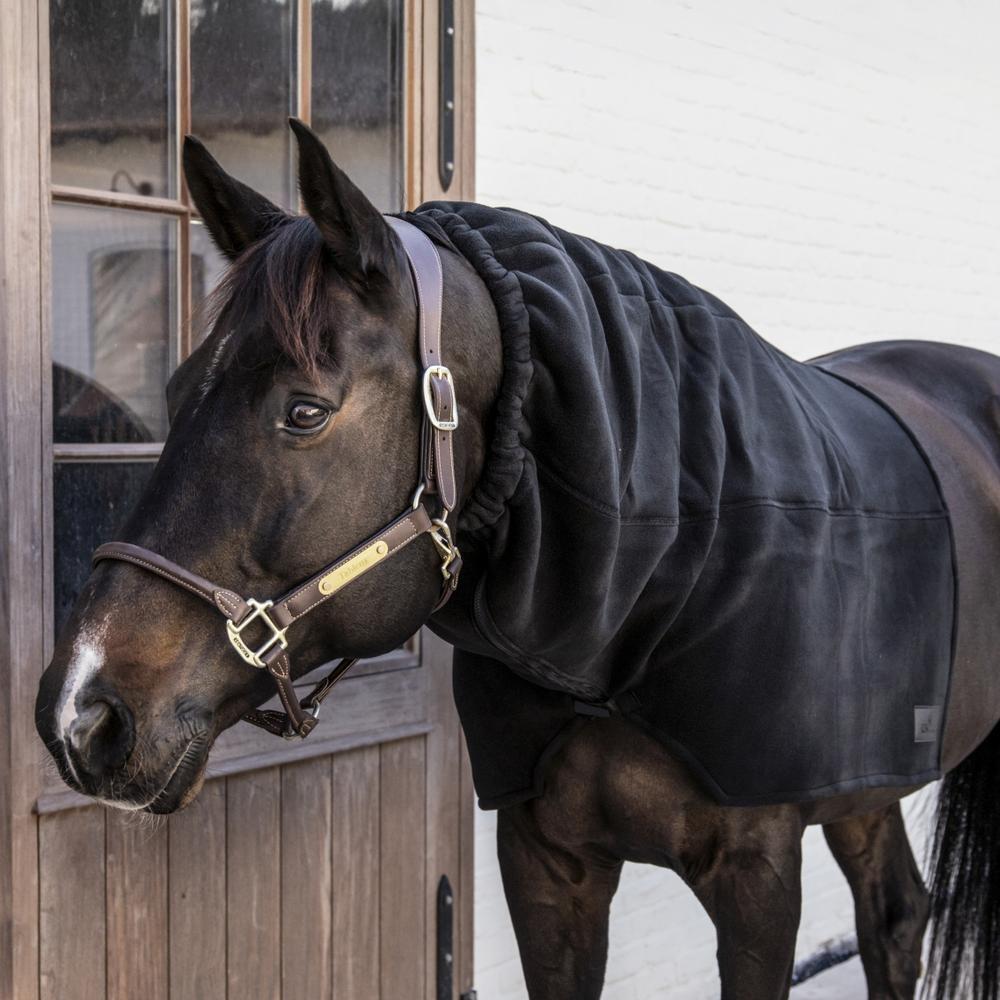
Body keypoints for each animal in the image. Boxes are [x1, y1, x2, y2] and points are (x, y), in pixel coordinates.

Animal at [35, 119, 1000, 1000]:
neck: (650, 591)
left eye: (305, 411)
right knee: (896, 918)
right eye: (173, 390)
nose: (81, 715)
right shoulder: (544, 866)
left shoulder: (757, 880)